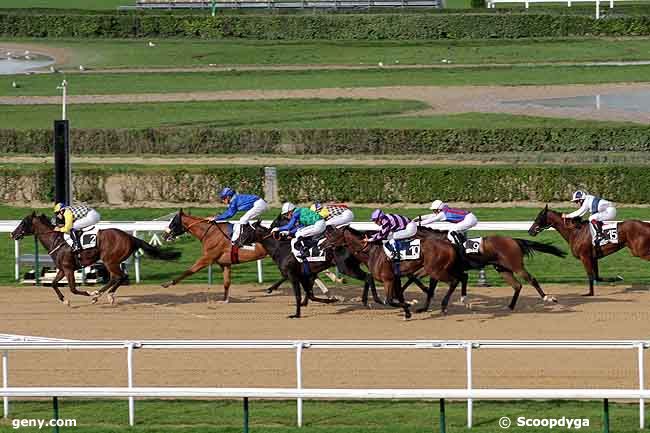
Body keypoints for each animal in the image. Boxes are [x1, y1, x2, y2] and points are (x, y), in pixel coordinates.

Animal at [12, 213, 180, 304]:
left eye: (23, 222)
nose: (13, 234)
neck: (56, 240)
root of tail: (130, 237)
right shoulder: (63, 269)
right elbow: (53, 284)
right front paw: (65, 300)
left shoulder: (68, 269)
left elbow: (73, 289)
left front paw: (89, 294)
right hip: (112, 261)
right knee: (117, 277)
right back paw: (102, 294)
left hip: (110, 260)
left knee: (120, 276)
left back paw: (101, 295)